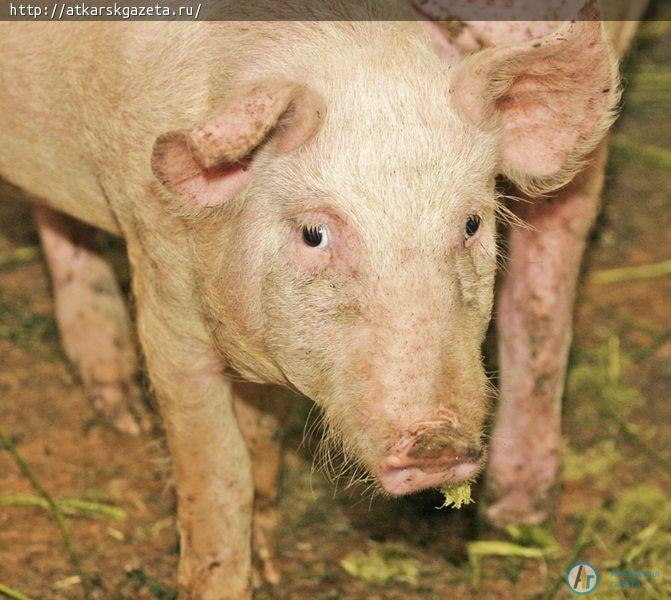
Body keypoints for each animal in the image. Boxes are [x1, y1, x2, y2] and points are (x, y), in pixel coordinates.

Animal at [0, 2, 628, 596]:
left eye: (472, 223)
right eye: (313, 234)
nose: (437, 440)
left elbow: (260, 442)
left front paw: (271, 568)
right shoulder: (159, 283)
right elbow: (219, 471)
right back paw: (126, 415)